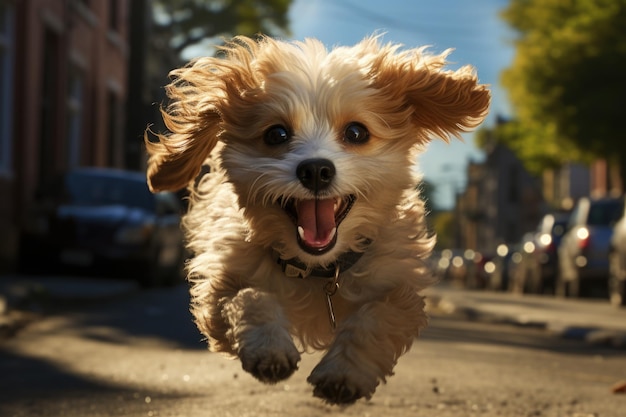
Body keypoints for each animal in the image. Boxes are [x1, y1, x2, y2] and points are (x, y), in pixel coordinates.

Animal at [145, 35, 488, 404]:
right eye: (277, 134)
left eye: (356, 132)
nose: (316, 169)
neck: (318, 269)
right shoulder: (220, 284)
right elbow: (247, 298)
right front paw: (269, 349)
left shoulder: (398, 286)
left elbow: (378, 317)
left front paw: (344, 373)